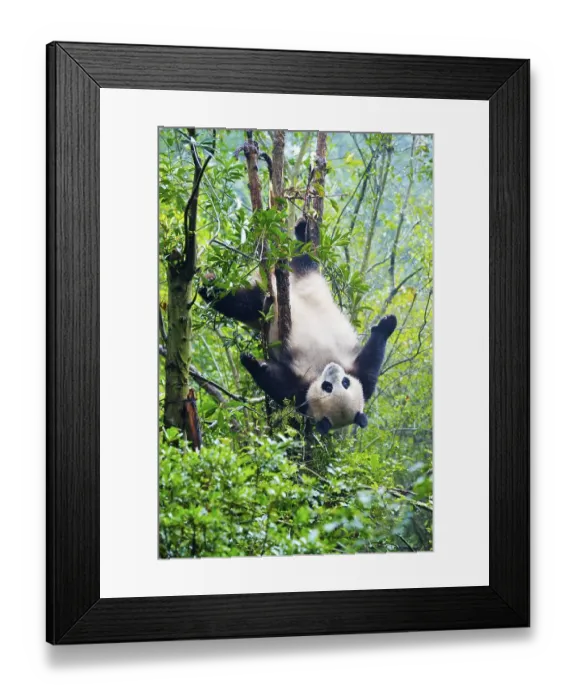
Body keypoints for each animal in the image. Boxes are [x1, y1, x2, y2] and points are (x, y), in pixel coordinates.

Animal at [200, 220, 397, 434]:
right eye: (334, 385)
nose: (334, 369)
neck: (320, 370)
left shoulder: (303, 393)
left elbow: (278, 385)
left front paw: (252, 362)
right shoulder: (359, 376)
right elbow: (372, 362)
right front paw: (388, 323)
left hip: (261, 306)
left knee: (239, 303)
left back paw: (209, 287)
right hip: (300, 275)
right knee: (305, 255)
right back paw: (303, 229)